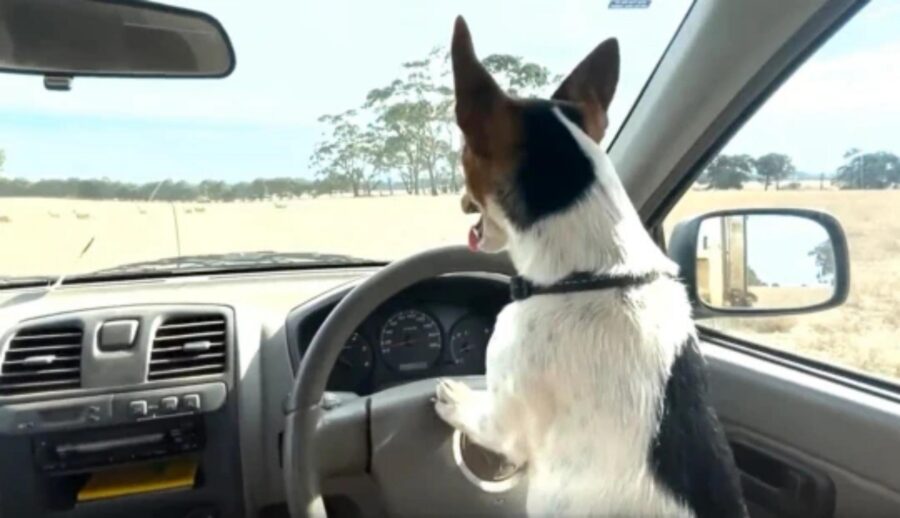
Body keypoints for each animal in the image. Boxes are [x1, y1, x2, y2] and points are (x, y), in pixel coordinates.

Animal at [434, 17, 744, 518]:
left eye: (463, 154)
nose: (458, 199)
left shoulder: (504, 419)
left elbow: (483, 420)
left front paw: (457, 395)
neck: (596, 274)